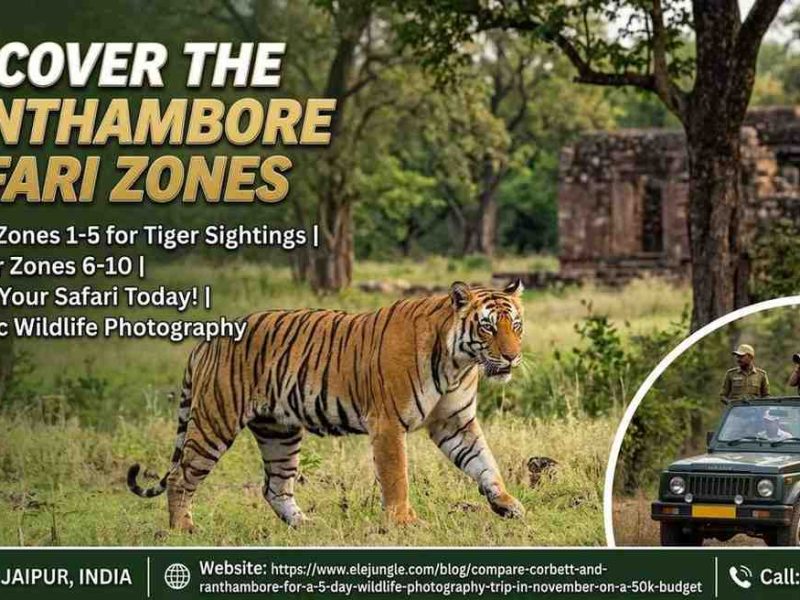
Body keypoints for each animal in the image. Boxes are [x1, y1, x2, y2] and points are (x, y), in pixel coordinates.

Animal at [127, 280, 526, 531]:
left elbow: (483, 462)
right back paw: (183, 529)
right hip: (215, 421)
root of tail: (207, 339)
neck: (458, 363)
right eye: (488, 327)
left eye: (516, 325)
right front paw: (405, 522)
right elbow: (396, 477)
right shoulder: (387, 423)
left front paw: (507, 503)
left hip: (279, 432)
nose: (512, 357)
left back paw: (304, 526)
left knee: (275, 487)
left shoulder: (454, 422)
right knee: (180, 476)